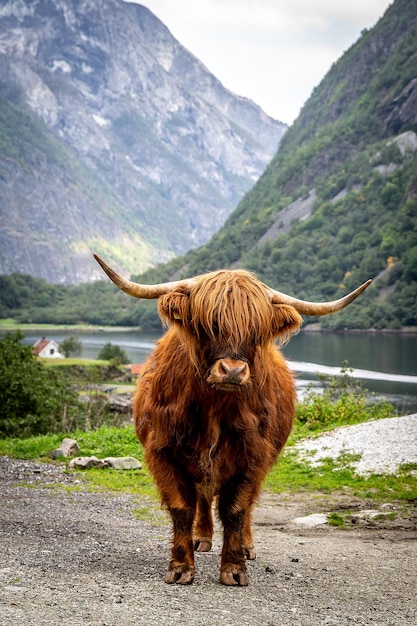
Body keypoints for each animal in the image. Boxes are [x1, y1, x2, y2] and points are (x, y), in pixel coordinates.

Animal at [93, 251, 368, 584]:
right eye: (208, 324)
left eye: (256, 331)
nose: (233, 371)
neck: (215, 406)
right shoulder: (162, 451)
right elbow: (181, 506)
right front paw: (181, 567)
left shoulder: (254, 456)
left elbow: (236, 509)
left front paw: (235, 569)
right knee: (202, 496)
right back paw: (201, 538)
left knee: (244, 506)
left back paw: (247, 546)